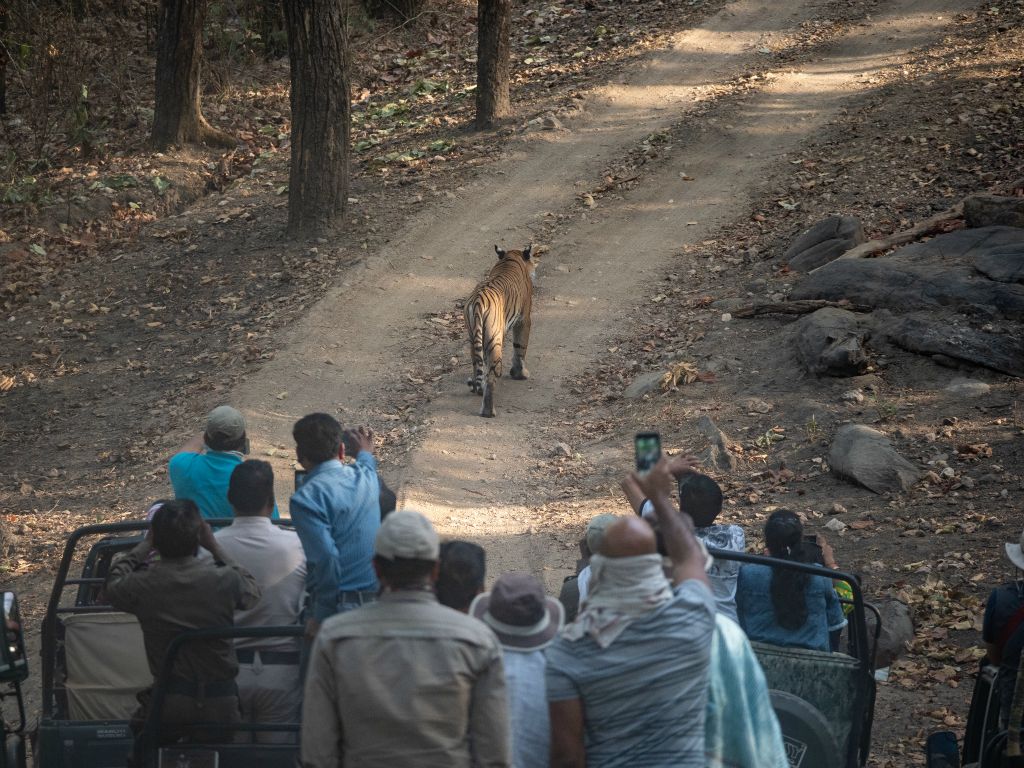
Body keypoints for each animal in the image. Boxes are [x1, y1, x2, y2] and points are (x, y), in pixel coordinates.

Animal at [466, 243, 540, 417]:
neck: (510, 257)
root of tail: (478, 301)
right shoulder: (524, 319)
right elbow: (520, 347)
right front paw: (520, 374)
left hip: (473, 338)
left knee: (477, 364)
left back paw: (479, 389)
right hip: (494, 340)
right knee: (491, 376)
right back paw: (488, 411)